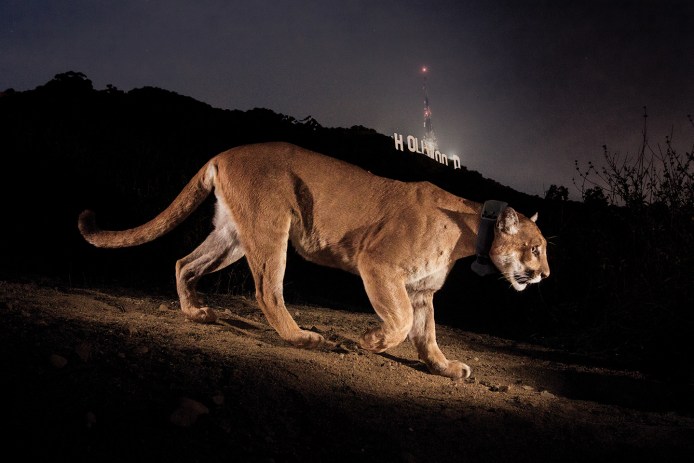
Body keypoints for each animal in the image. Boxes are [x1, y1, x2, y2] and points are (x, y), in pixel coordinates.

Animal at [78, 142, 549, 379]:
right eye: (536, 247)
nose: (545, 274)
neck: (470, 231)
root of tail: (225, 153)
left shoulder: (421, 290)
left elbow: (427, 335)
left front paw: (446, 367)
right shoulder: (379, 265)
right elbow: (399, 323)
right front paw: (369, 341)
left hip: (232, 236)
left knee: (184, 263)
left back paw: (197, 312)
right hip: (272, 226)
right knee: (267, 290)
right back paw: (305, 338)